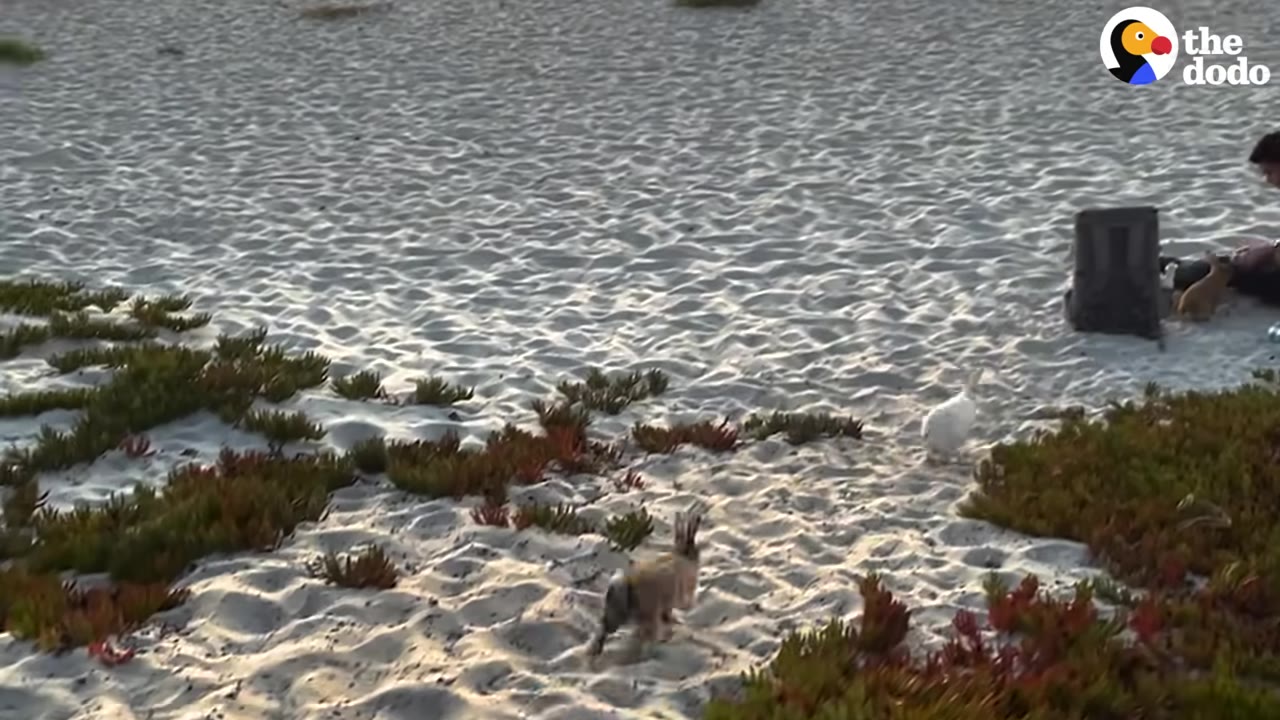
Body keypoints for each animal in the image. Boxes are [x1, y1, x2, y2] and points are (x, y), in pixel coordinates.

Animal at [586, 500, 707, 662]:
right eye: (695, 550)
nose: (698, 557)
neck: (682, 556)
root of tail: (628, 586)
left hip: (617, 614)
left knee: (605, 629)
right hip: (650, 614)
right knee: (647, 637)